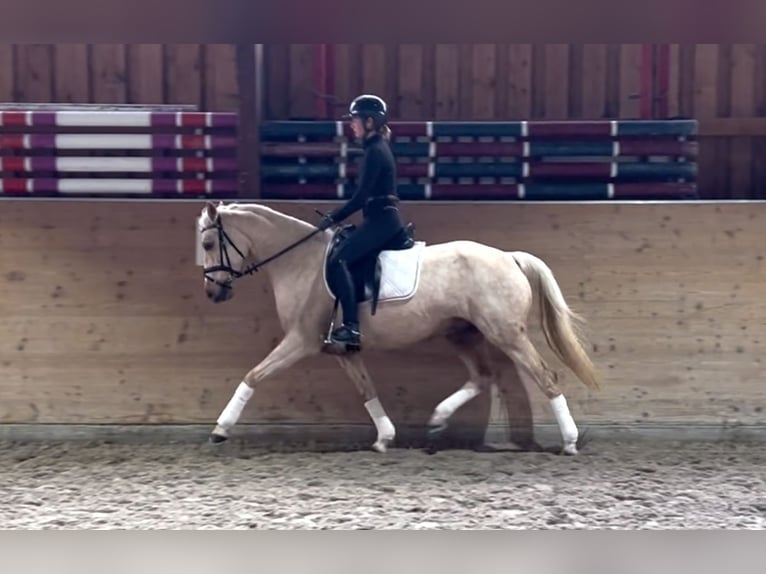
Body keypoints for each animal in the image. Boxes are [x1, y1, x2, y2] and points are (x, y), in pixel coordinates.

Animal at [196, 200, 600, 456]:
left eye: (209, 242)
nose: (213, 292)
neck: (302, 262)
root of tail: (509, 257)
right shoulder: (342, 350)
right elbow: (366, 389)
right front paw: (385, 438)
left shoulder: (301, 341)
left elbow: (253, 375)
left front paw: (220, 429)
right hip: (462, 332)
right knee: (482, 377)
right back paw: (437, 419)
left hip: (506, 334)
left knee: (546, 377)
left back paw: (569, 442)